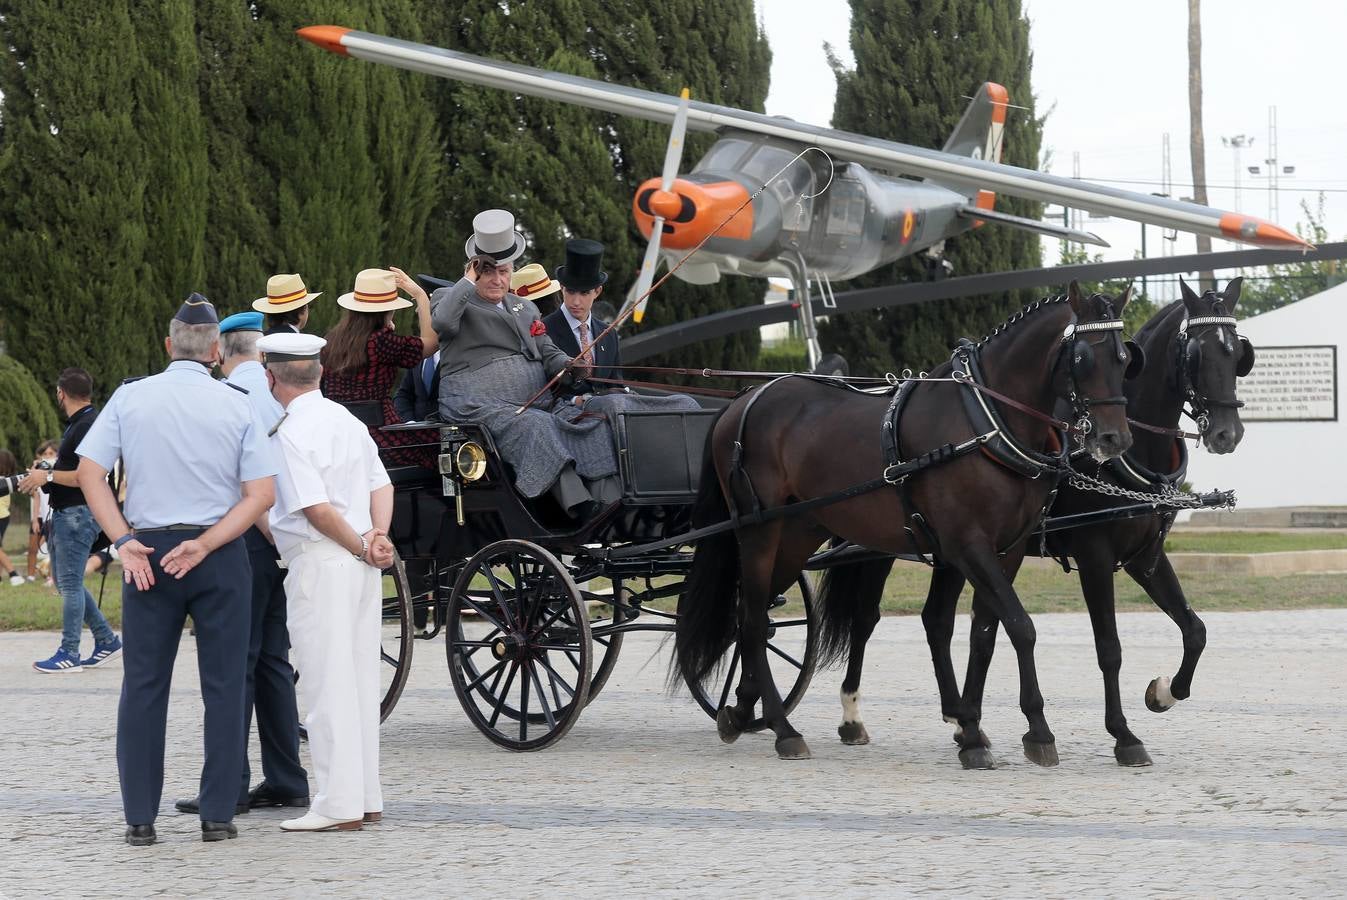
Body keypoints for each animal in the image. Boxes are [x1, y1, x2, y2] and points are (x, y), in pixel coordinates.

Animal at [673, 284, 1136, 765]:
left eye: (1124, 358)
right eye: (1082, 357)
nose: (1114, 439)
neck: (986, 421)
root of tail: (744, 398)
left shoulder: (1005, 550)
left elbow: (986, 632)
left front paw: (973, 727)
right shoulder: (967, 546)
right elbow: (1021, 627)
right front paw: (1035, 731)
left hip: (797, 533)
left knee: (756, 615)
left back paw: (742, 710)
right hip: (758, 531)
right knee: (749, 617)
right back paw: (783, 728)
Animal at [824, 278, 1255, 765]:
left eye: (1238, 354)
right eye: (1197, 352)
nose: (1227, 433)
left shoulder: (1145, 557)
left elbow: (1195, 630)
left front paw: (1164, 692)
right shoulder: (1093, 556)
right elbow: (1108, 648)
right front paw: (1122, 734)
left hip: (947, 550)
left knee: (937, 621)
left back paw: (959, 719)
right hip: (880, 545)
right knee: (864, 618)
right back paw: (852, 715)